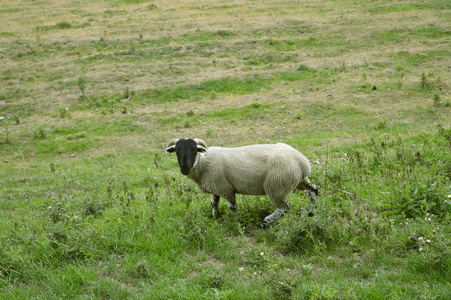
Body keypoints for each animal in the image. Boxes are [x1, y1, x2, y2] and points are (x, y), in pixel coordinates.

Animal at [165, 138, 318, 225]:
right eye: (177, 150)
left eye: (194, 150)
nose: (184, 168)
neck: (203, 163)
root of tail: (303, 163)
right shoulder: (216, 187)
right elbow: (214, 202)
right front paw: (216, 217)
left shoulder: (226, 188)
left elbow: (233, 207)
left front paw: (237, 221)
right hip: (299, 181)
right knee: (314, 191)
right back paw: (310, 213)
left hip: (276, 186)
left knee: (283, 208)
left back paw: (265, 222)